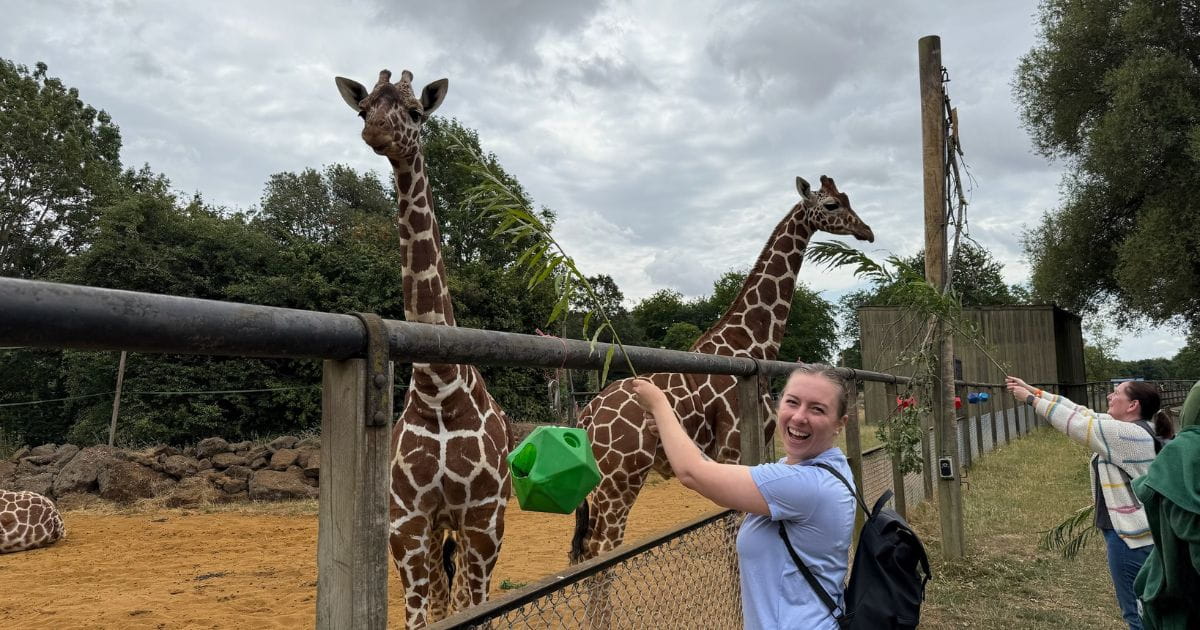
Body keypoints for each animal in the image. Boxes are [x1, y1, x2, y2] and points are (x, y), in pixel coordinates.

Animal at [335, 69, 510, 628]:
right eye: (364, 106)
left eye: (416, 112)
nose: (375, 132)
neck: (439, 386)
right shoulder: (408, 522)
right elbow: (423, 614)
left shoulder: (482, 520)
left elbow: (474, 607)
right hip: (437, 530)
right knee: (439, 593)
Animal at [570, 175, 874, 563]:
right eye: (832, 205)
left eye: (847, 198)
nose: (867, 231)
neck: (751, 343)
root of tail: (585, 417)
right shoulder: (731, 448)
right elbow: (735, 533)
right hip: (621, 479)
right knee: (601, 549)